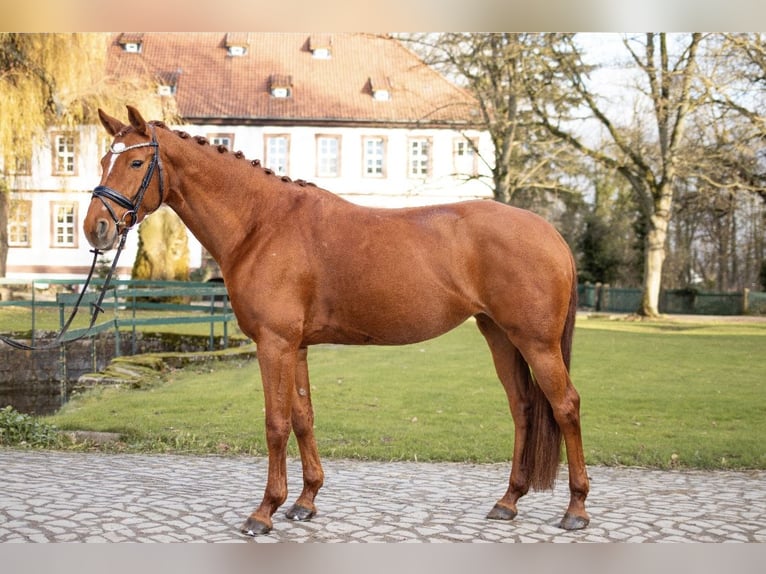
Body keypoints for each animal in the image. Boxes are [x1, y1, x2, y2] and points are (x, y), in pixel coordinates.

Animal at [82, 107, 588, 536]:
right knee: (523, 408)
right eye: (103, 159)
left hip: (536, 343)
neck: (260, 224)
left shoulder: (274, 344)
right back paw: (508, 501)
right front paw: (304, 502)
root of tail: (551, 234)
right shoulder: (297, 346)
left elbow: (275, 423)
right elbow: (303, 417)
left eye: (135, 162)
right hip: (500, 336)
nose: (95, 229)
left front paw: (264, 511)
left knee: (565, 406)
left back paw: (576, 509)